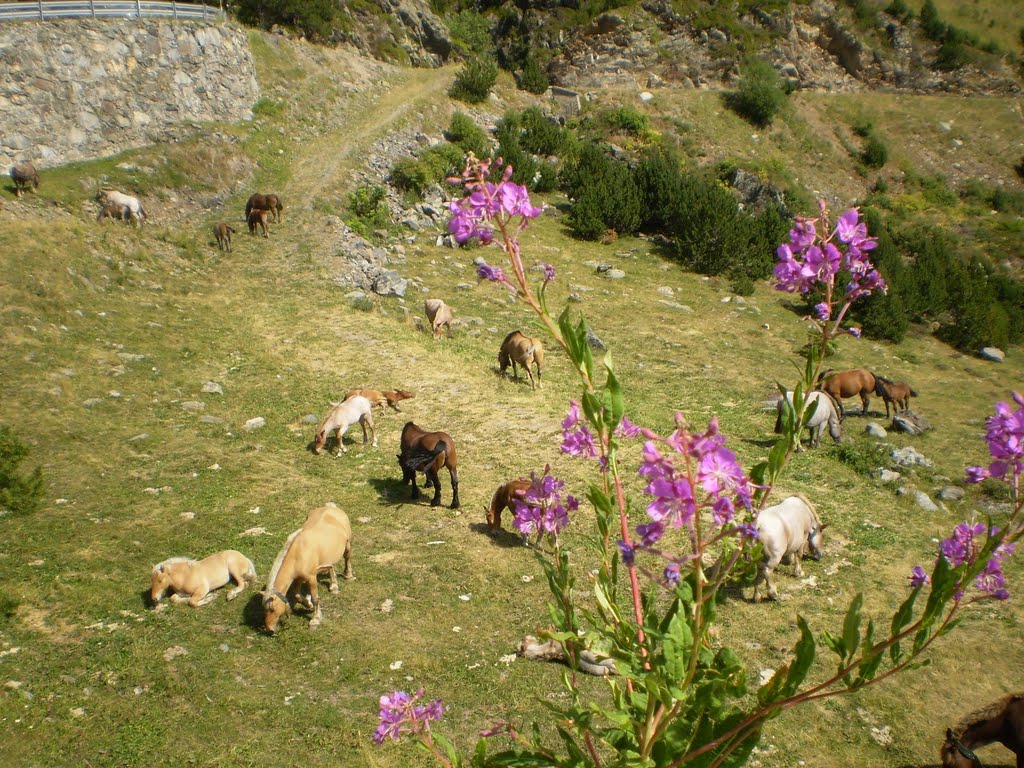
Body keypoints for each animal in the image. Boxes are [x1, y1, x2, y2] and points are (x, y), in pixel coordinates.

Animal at [262, 501, 354, 634]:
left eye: (272, 609)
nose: (269, 629)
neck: (298, 554)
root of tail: (331, 507)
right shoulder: (298, 578)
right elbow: (297, 595)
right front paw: (309, 605)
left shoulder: (311, 578)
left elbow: (316, 598)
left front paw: (315, 619)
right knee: (331, 567)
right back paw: (333, 586)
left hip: (347, 544)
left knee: (347, 558)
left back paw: (348, 575)